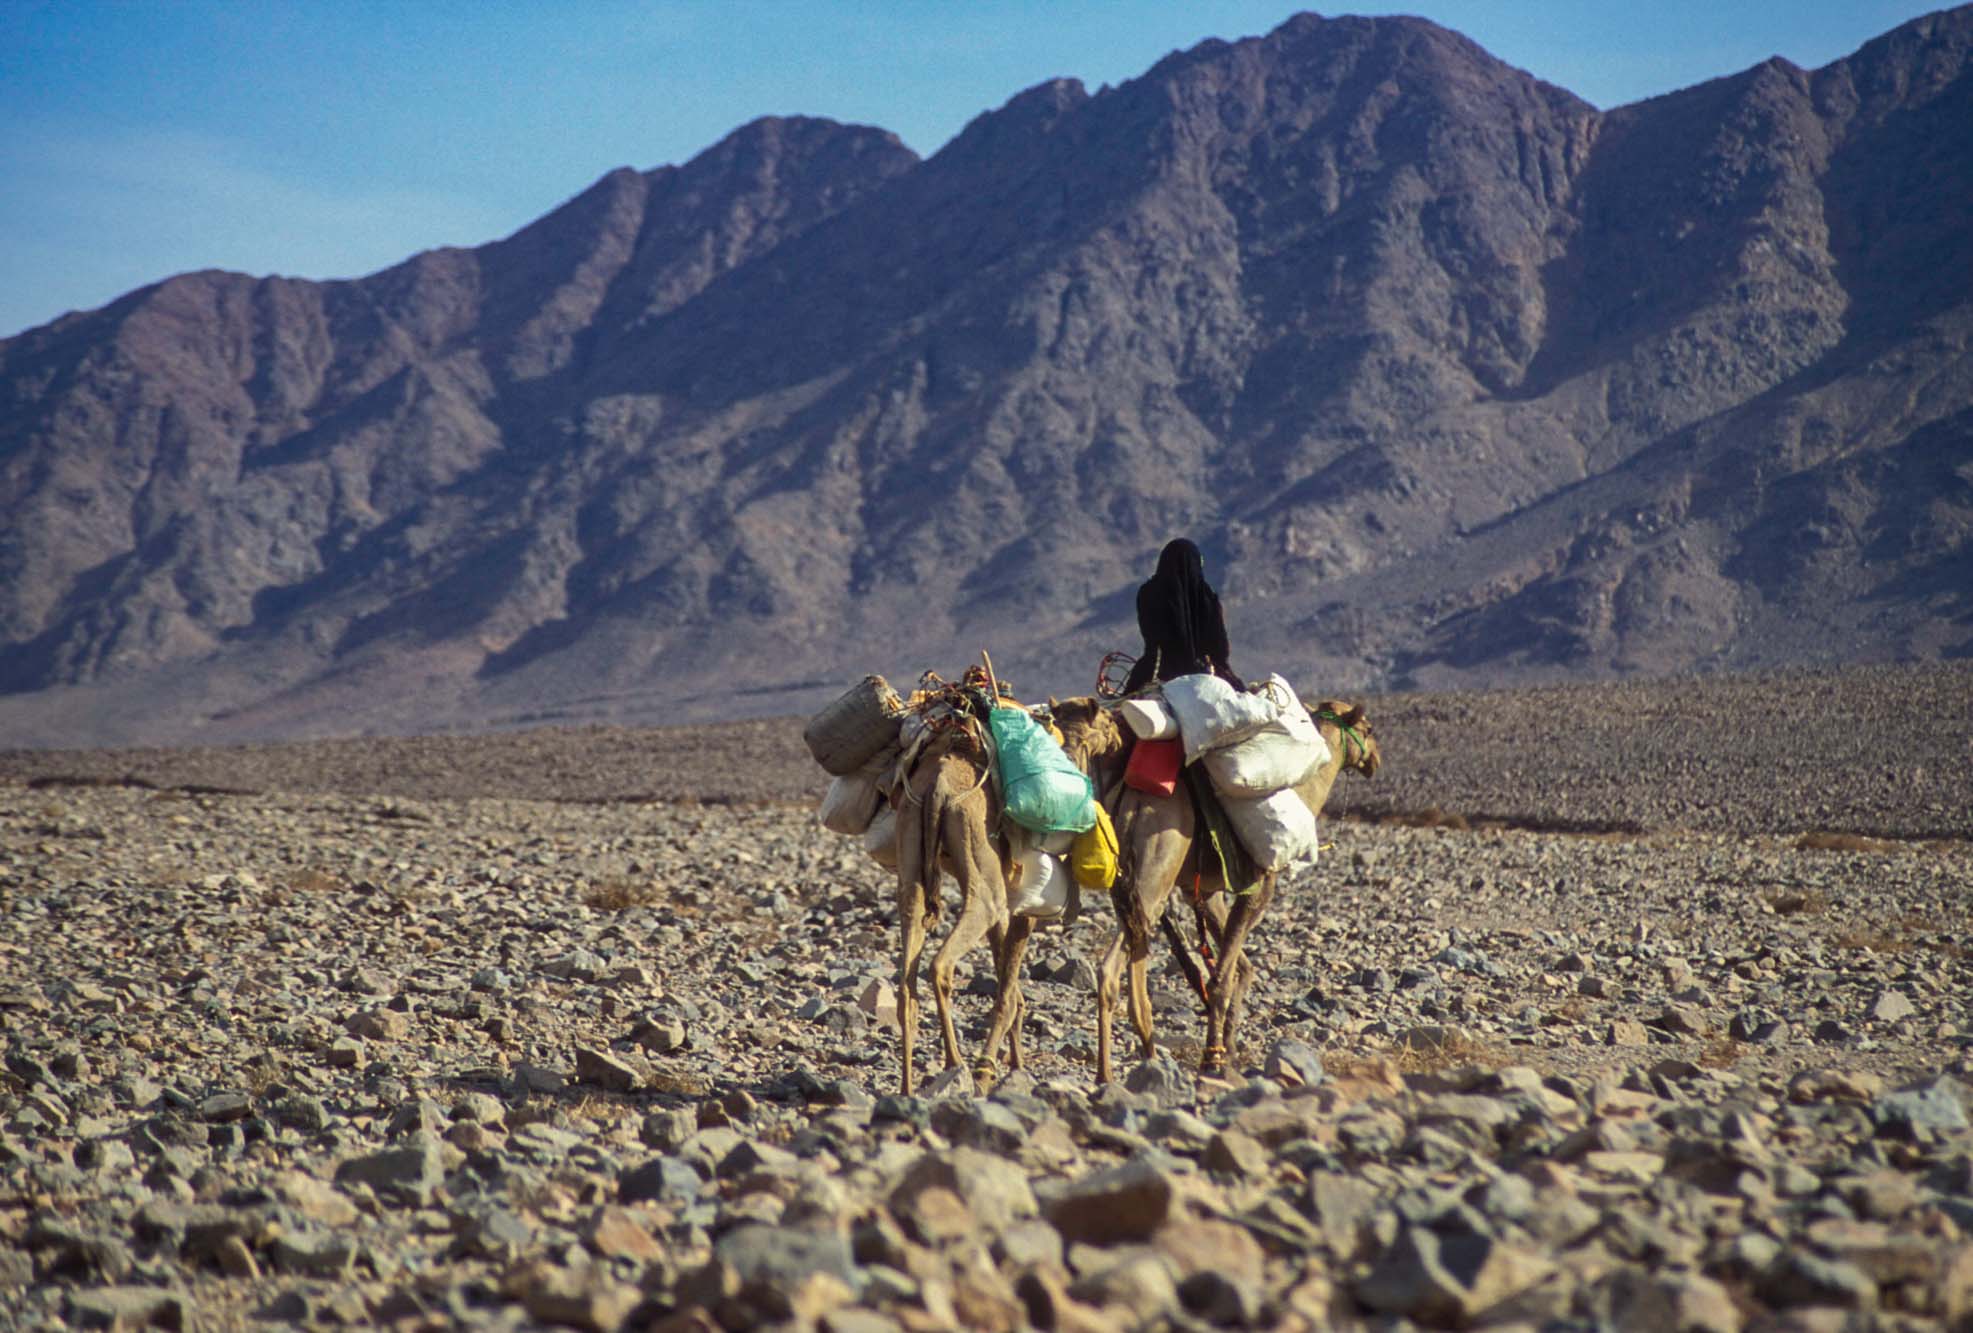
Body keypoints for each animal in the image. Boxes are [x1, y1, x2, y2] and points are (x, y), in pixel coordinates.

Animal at [1049, 698, 1388, 1080]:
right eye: (1368, 729)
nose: (1375, 760)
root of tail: (1128, 796)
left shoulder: (1205, 893)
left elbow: (1241, 967)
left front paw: (1230, 1046)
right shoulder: (1257, 886)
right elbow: (1221, 977)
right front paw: (1214, 1057)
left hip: (1127, 887)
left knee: (1117, 964)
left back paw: (1119, 1068)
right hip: (1153, 878)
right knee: (1120, 963)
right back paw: (1132, 1064)